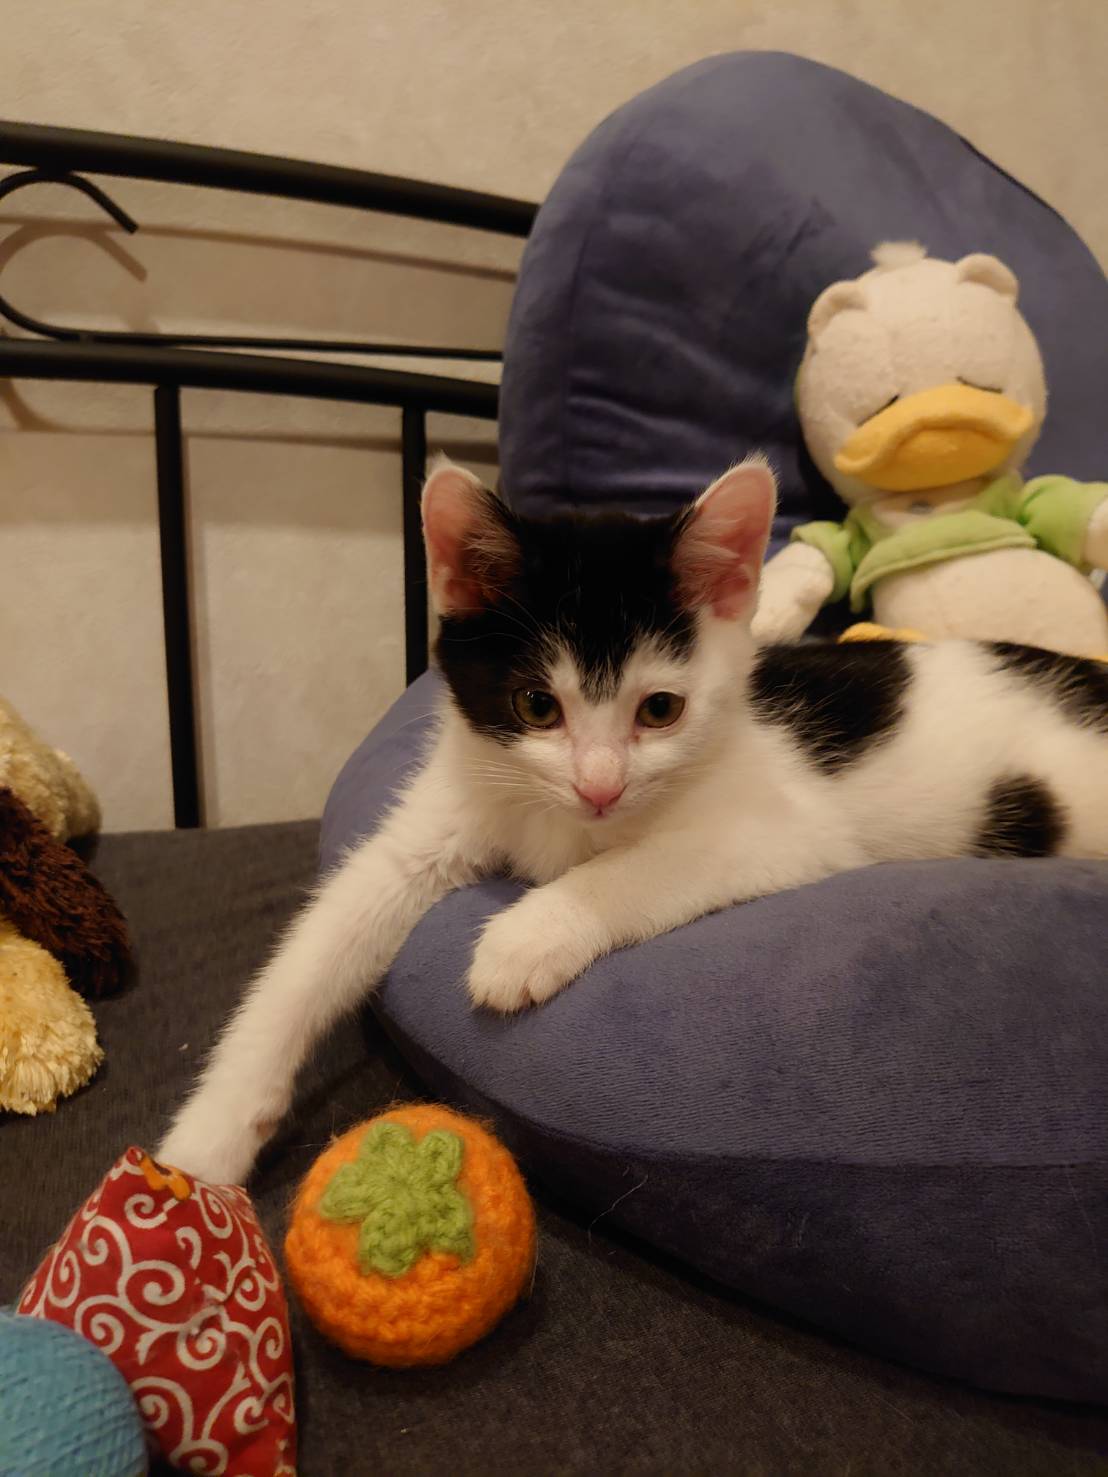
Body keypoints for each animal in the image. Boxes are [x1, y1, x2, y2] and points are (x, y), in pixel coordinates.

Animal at [160, 456, 1108, 1186]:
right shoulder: (443, 813)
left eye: (660, 709)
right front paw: (203, 1141)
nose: (601, 786)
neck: (559, 819)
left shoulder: (783, 828)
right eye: (535, 705)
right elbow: (315, 946)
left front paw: (525, 938)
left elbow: (637, 869)